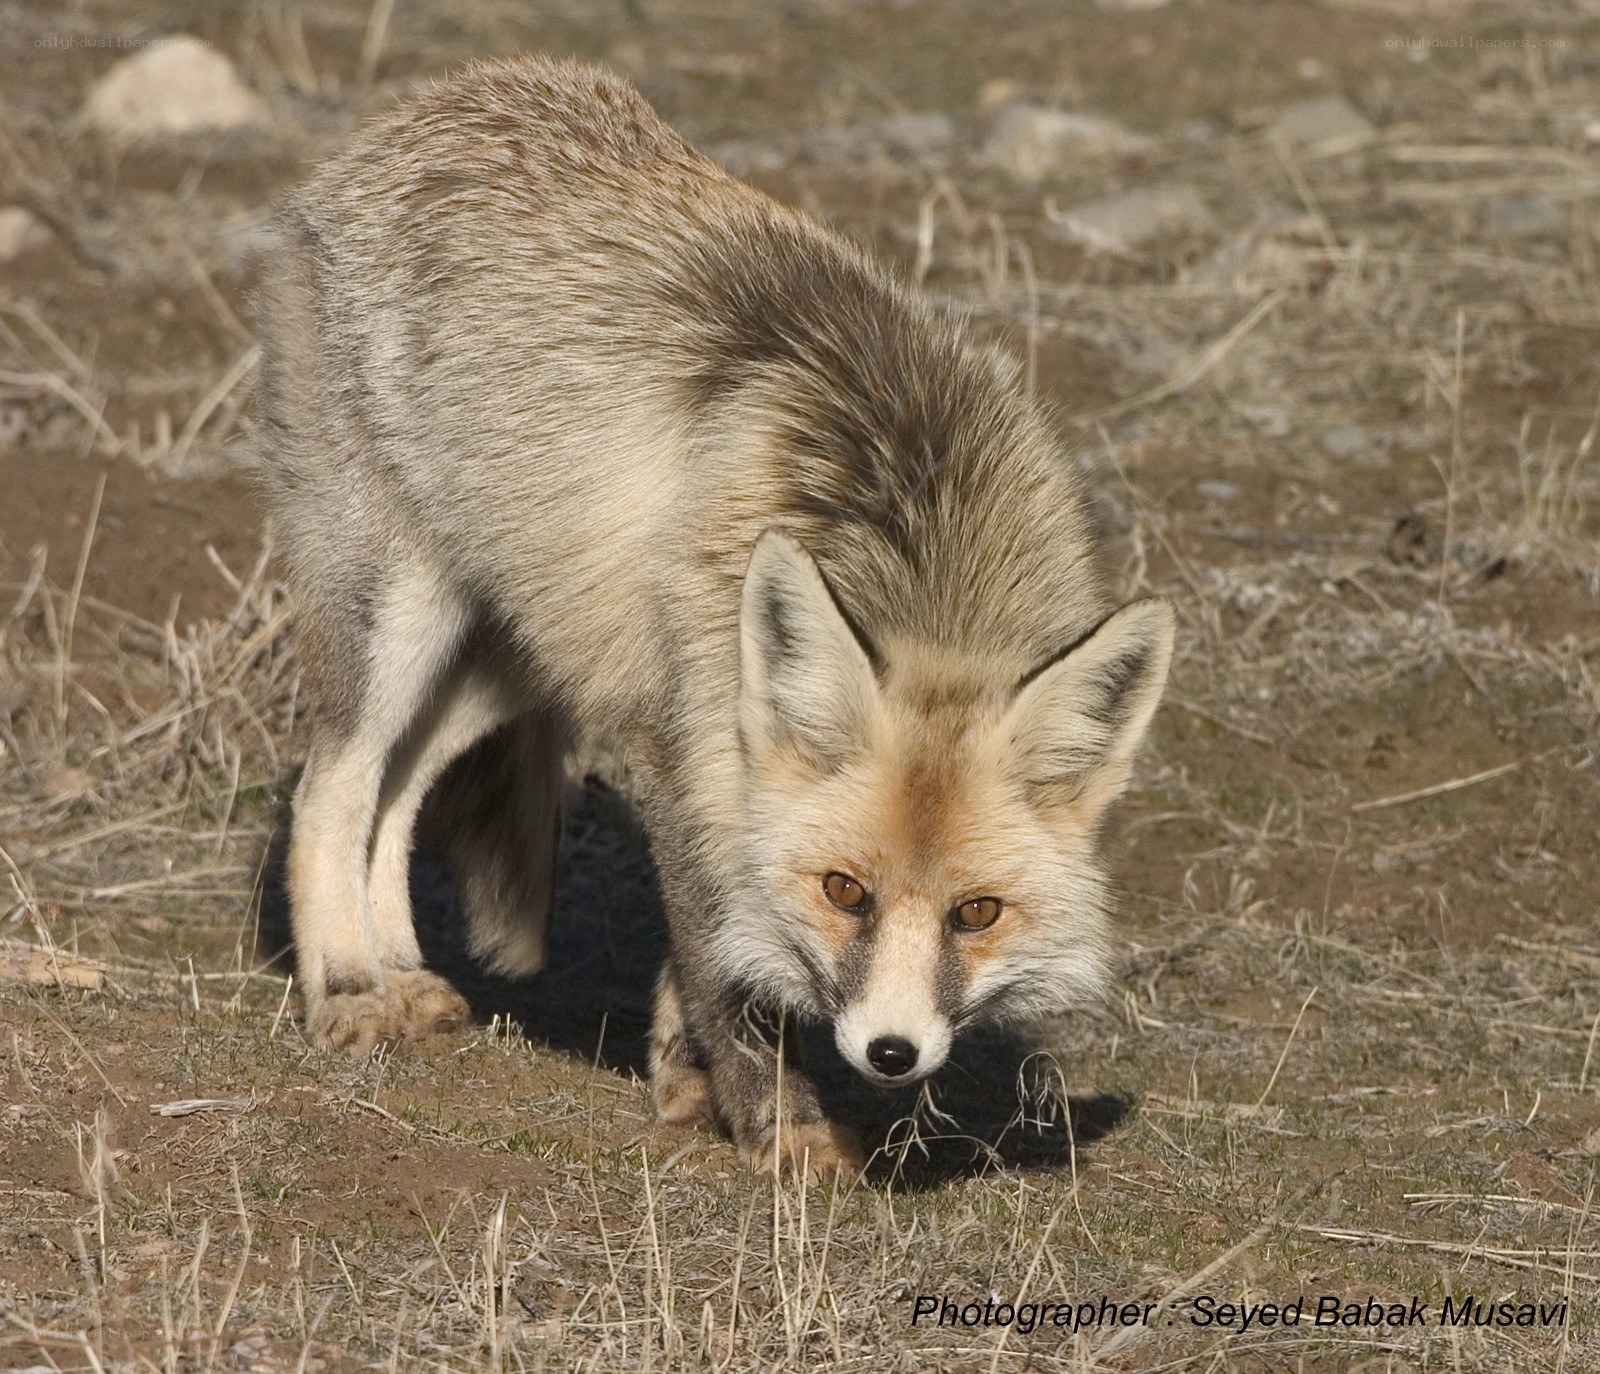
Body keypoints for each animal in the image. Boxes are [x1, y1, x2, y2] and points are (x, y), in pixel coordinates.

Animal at [253, 55, 1175, 1181]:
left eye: (978, 913)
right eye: (843, 892)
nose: (892, 1053)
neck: (914, 529)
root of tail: (444, 97)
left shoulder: (713, 757)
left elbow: (709, 947)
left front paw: (683, 1076)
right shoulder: (681, 740)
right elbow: (723, 961)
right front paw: (782, 1127)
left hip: (520, 653)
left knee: (398, 789)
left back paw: (397, 969)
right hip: (405, 613)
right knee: (331, 785)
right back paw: (344, 986)